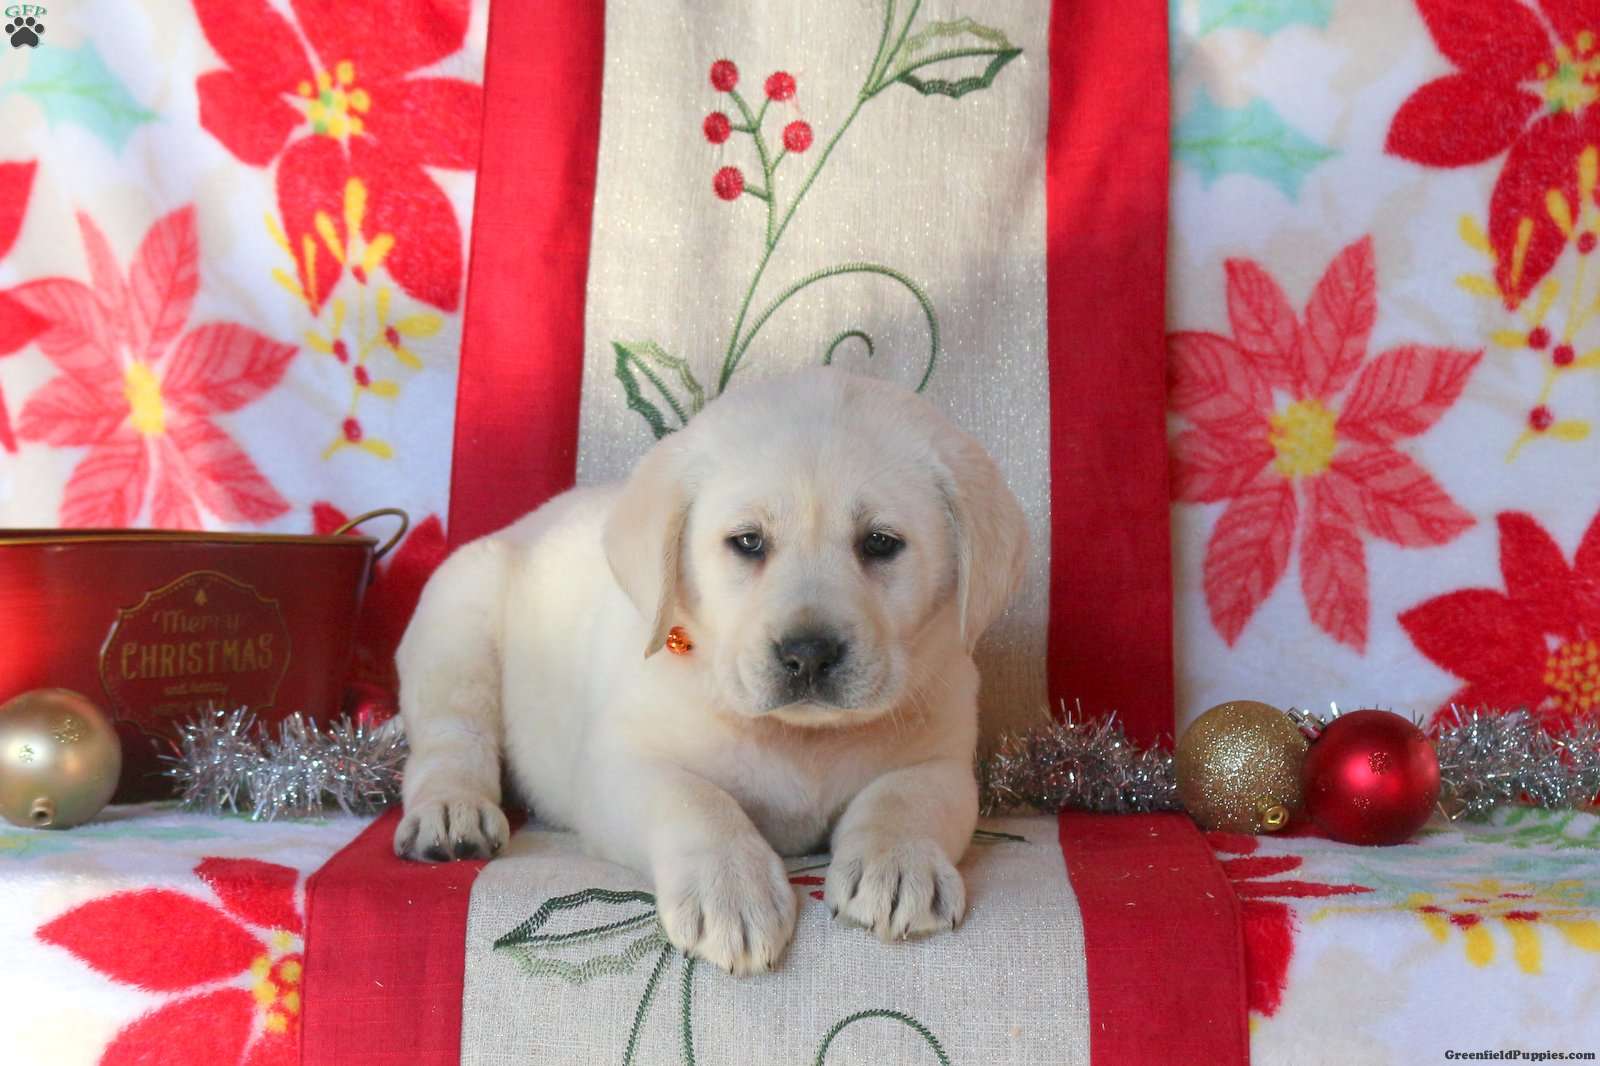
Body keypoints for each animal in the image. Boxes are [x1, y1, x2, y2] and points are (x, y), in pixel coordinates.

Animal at [394, 368, 1027, 975]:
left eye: (880, 543)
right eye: (747, 542)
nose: (809, 654)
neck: (801, 739)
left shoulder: (943, 759)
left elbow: (905, 796)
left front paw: (896, 866)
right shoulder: (617, 769)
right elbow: (694, 800)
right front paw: (732, 893)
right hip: (458, 622)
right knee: (450, 741)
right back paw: (451, 813)